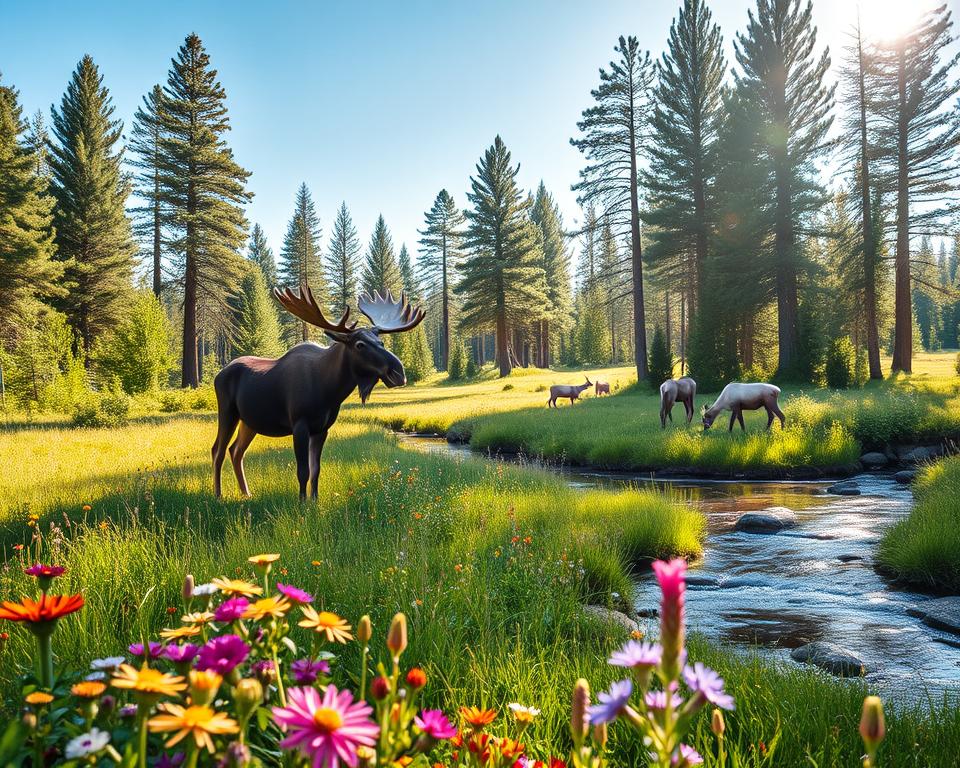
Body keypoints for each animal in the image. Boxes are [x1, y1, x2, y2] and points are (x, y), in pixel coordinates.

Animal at [212, 284, 425, 500]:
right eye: (360, 344)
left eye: (381, 342)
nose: (399, 373)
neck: (330, 391)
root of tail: (219, 374)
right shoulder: (300, 424)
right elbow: (303, 471)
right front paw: (302, 501)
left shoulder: (322, 429)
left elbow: (316, 470)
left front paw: (314, 500)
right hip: (228, 412)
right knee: (218, 450)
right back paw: (218, 494)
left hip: (249, 421)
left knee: (236, 451)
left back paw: (246, 493)